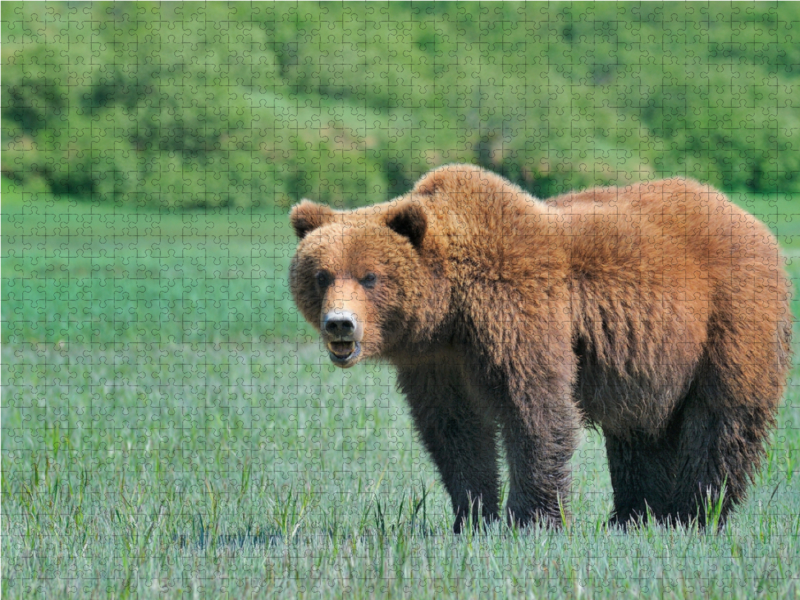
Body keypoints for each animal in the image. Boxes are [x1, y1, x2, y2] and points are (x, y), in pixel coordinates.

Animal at [290, 163, 792, 528]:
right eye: (322, 275)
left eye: (370, 277)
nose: (340, 324)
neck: (450, 311)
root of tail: (749, 218)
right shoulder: (435, 361)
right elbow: (454, 430)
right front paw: (473, 516)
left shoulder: (517, 311)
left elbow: (536, 409)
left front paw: (531, 519)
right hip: (650, 359)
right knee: (639, 431)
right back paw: (632, 517)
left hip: (730, 316)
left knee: (722, 419)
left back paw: (694, 514)